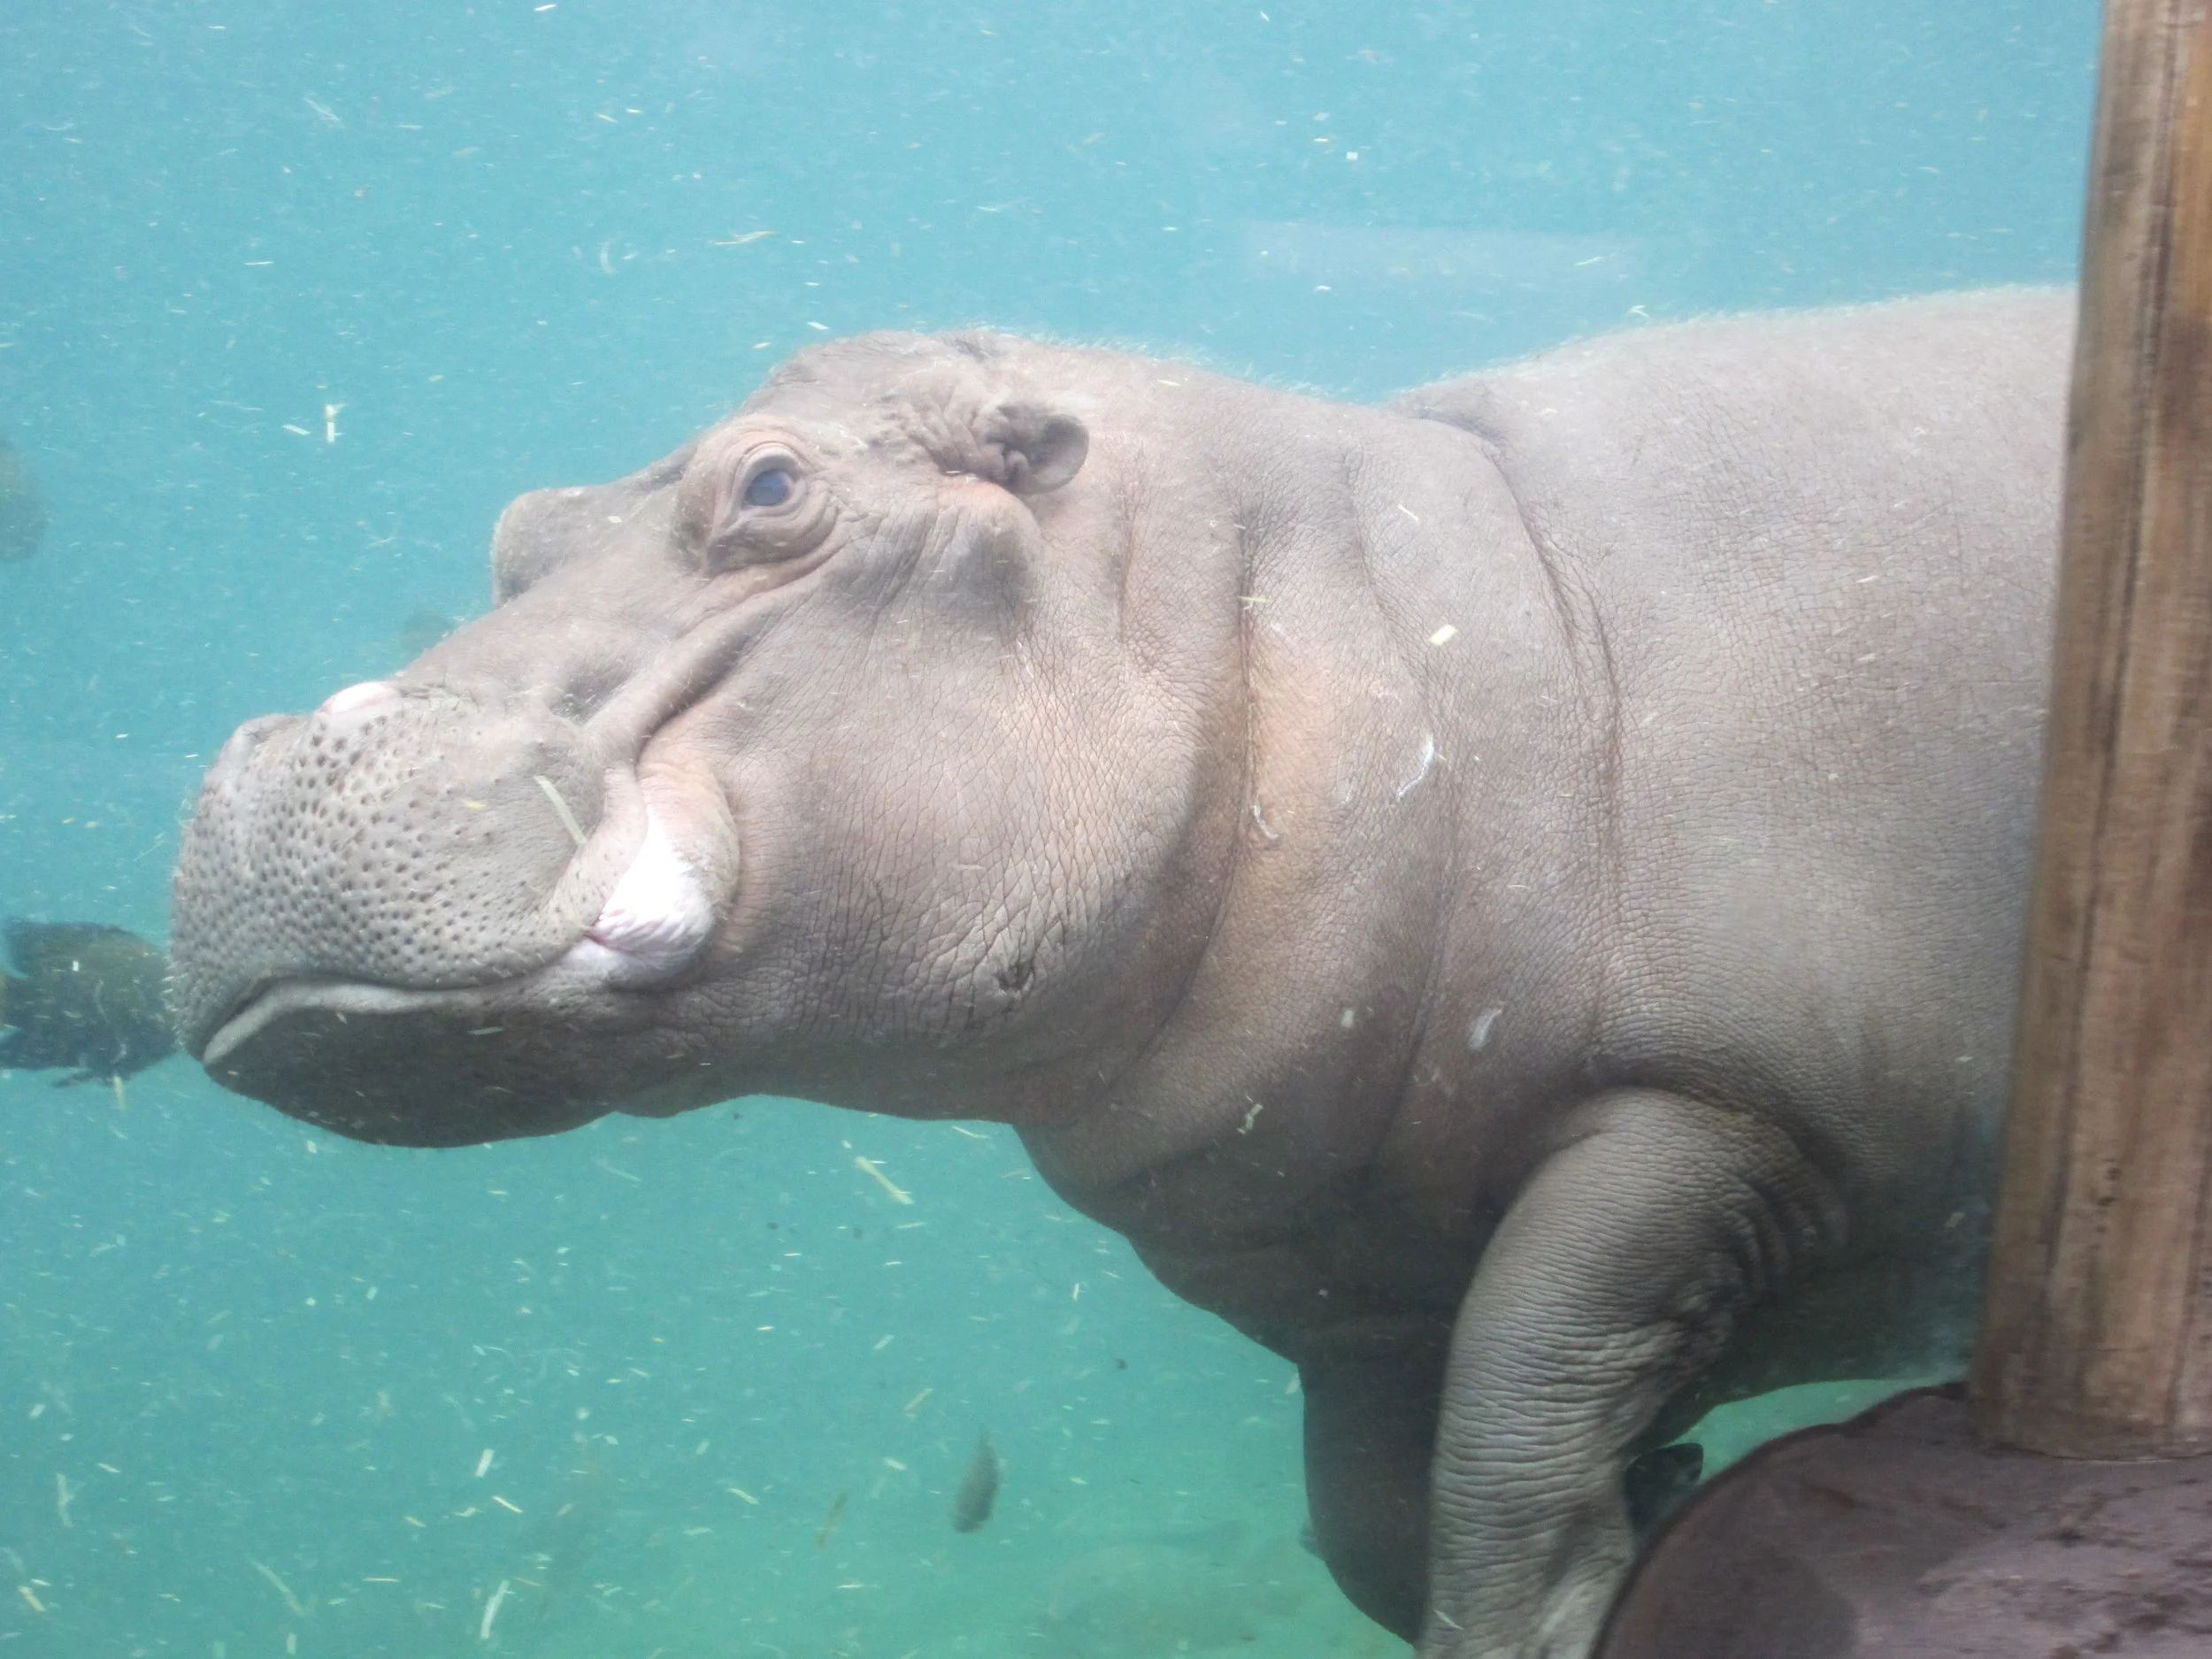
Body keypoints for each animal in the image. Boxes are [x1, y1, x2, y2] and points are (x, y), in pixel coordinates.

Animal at [168, 288, 2071, 1659]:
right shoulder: (1364, 1282)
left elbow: (1505, 1469)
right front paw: (1661, 1477)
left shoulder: (1710, 1114)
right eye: (521, 529)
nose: (277, 751)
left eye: (771, 487)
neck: (1416, 619)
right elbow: (1385, 1522)